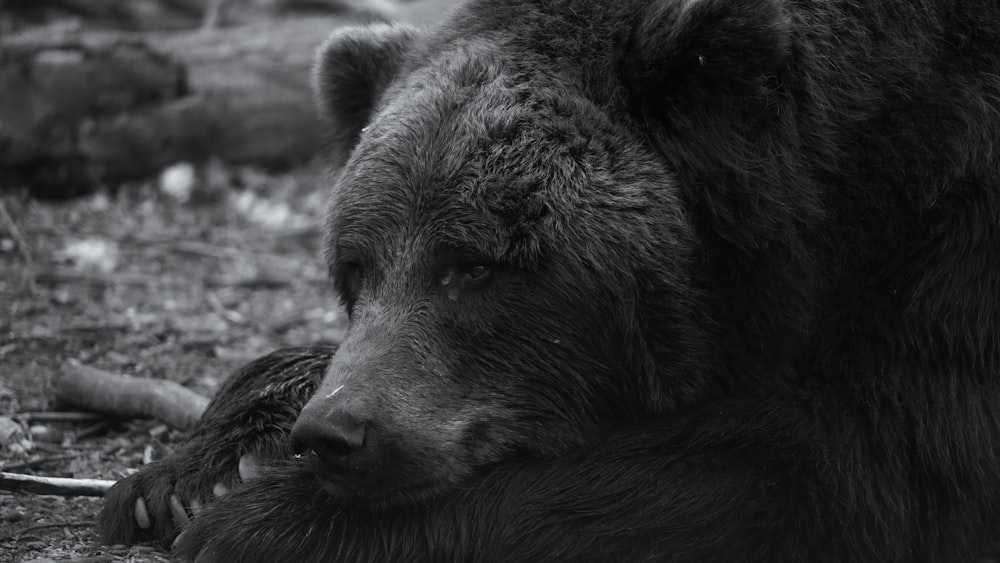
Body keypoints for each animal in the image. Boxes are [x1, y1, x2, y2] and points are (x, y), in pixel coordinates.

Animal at [95, 0, 1000, 560]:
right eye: (356, 266)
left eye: (473, 264)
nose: (335, 432)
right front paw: (186, 473)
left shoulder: (947, 260)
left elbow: (839, 465)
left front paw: (262, 519)